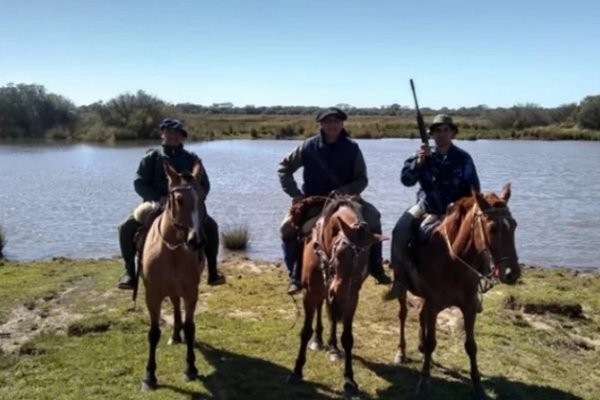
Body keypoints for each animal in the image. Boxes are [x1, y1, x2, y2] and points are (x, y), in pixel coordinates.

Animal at [139, 160, 207, 390]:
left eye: (202, 197)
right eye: (179, 199)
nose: (196, 241)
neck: (173, 250)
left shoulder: (191, 291)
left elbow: (190, 327)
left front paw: (191, 368)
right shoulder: (152, 294)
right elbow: (153, 333)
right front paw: (149, 376)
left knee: (178, 308)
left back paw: (178, 335)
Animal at [284, 196, 384, 396]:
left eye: (365, 260)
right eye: (339, 253)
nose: (339, 294)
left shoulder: (351, 299)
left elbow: (347, 337)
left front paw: (349, 380)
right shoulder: (310, 294)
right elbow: (305, 331)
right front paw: (297, 370)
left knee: (330, 314)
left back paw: (332, 347)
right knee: (322, 308)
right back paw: (318, 340)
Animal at [394, 184, 520, 400]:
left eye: (514, 225)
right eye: (492, 229)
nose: (512, 273)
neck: (453, 260)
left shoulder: (468, 306)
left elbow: (471, 345)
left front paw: (478, 386)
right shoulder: (434, 304)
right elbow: (431, 341)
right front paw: (424, 382)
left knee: (420, 314)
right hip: (402, 288)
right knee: (403, 314)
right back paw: (401, 352)